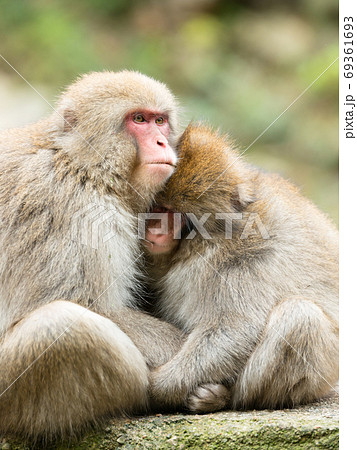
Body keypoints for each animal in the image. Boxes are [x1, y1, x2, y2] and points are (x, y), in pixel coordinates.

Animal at [0, 70, 188, 440]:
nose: (163, 143)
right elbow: (92, 307)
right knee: (62, 327)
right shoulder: (78, 211)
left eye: (160, 121)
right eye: (139, 120)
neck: (82, 166)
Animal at [143, 125, 338, 414]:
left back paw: (225, 397)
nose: (155, 229)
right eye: (157, 207)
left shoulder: (241, 258)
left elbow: (235, 328)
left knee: (301, 317)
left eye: (173, 213)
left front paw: (157, 386)